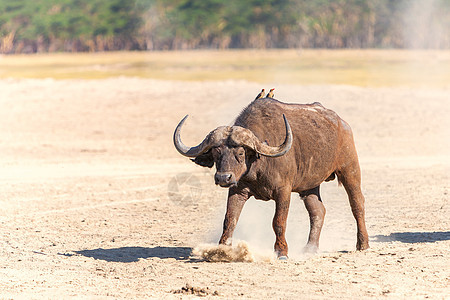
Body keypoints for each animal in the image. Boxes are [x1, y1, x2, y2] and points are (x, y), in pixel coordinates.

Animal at [173, 98, 370, 258]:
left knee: (357, 204)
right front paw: (222, 250)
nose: (223, 177)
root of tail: (342, 124)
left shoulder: (283, 191)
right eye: (216, 152)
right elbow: (230, 219)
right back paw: (310, 248)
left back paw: (362, 244)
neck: (258, 165)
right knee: (318, 211)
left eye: (240, 152)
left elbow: (278, 221)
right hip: (309, 186)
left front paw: (281, 251)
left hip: (350, 169)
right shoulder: (237, 190)